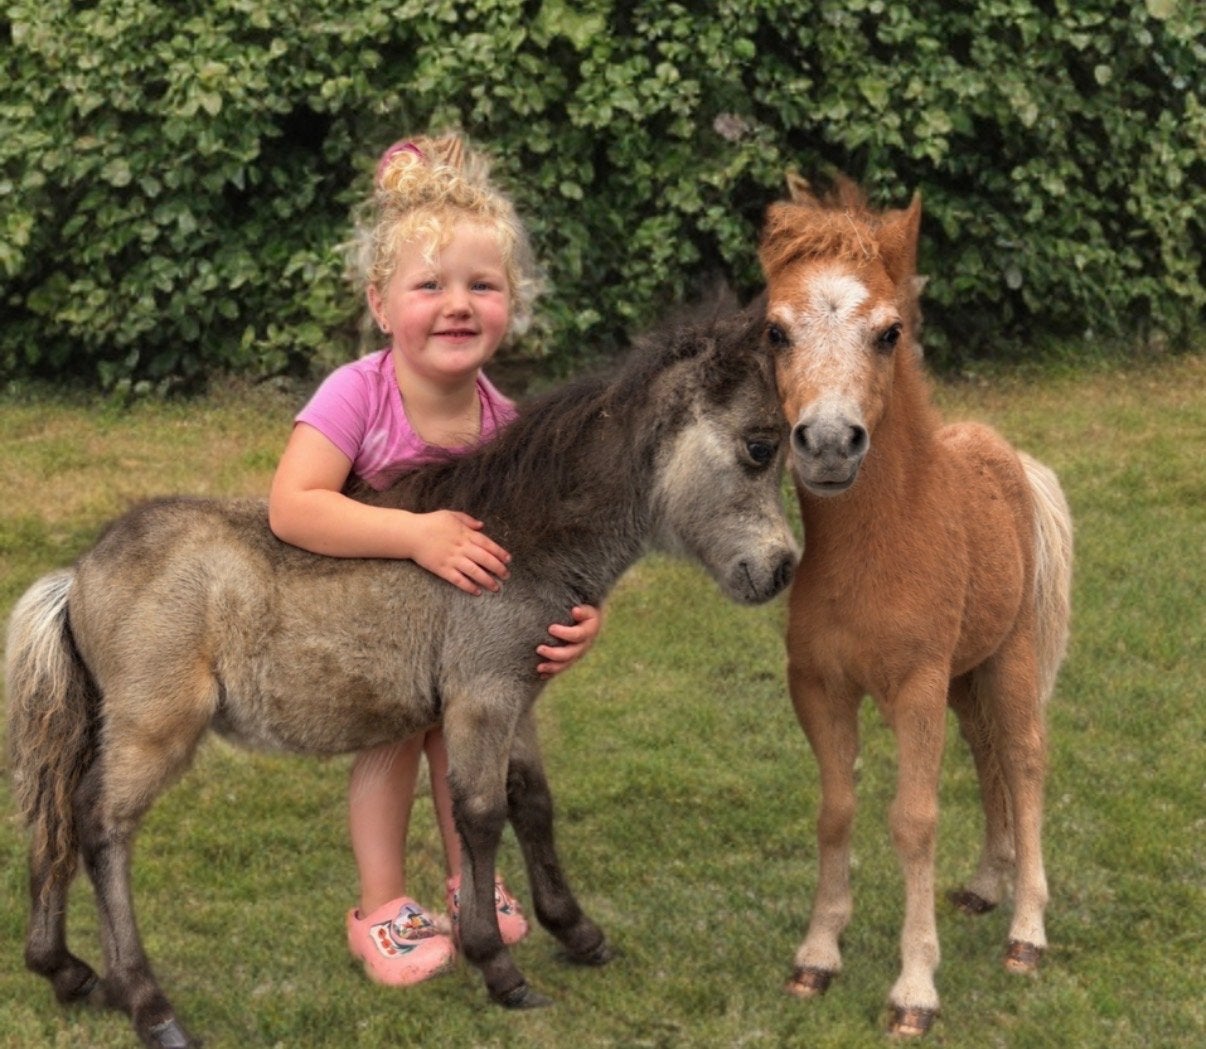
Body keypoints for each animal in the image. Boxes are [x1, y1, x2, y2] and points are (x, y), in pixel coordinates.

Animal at [6, 300, 798, 1049]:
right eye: (760, 447)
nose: (782, 569)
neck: (516, 541)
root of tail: (78, 575)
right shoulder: (483, 698)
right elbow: (480, 812)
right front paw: (499, 968)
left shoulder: (518, 699)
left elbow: (533, 803)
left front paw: (578, 933)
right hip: (156, 728)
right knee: (100, 823)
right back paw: (148, 1004)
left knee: (56, 810)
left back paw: (67, 971)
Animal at [757, 176, 1073, 1037]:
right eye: (774, 331)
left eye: (889, 332)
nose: (830, 442)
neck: (876, 549)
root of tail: (1010, 456)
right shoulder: (820, 686)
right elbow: (837, 809)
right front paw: (815, 956)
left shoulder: (915, 687)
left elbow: (914, 818)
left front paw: (914, 989)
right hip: (969, 674)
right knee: (987, 753)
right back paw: (987, 884)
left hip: (1010, 658)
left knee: (1024, 757)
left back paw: (1026, 931)